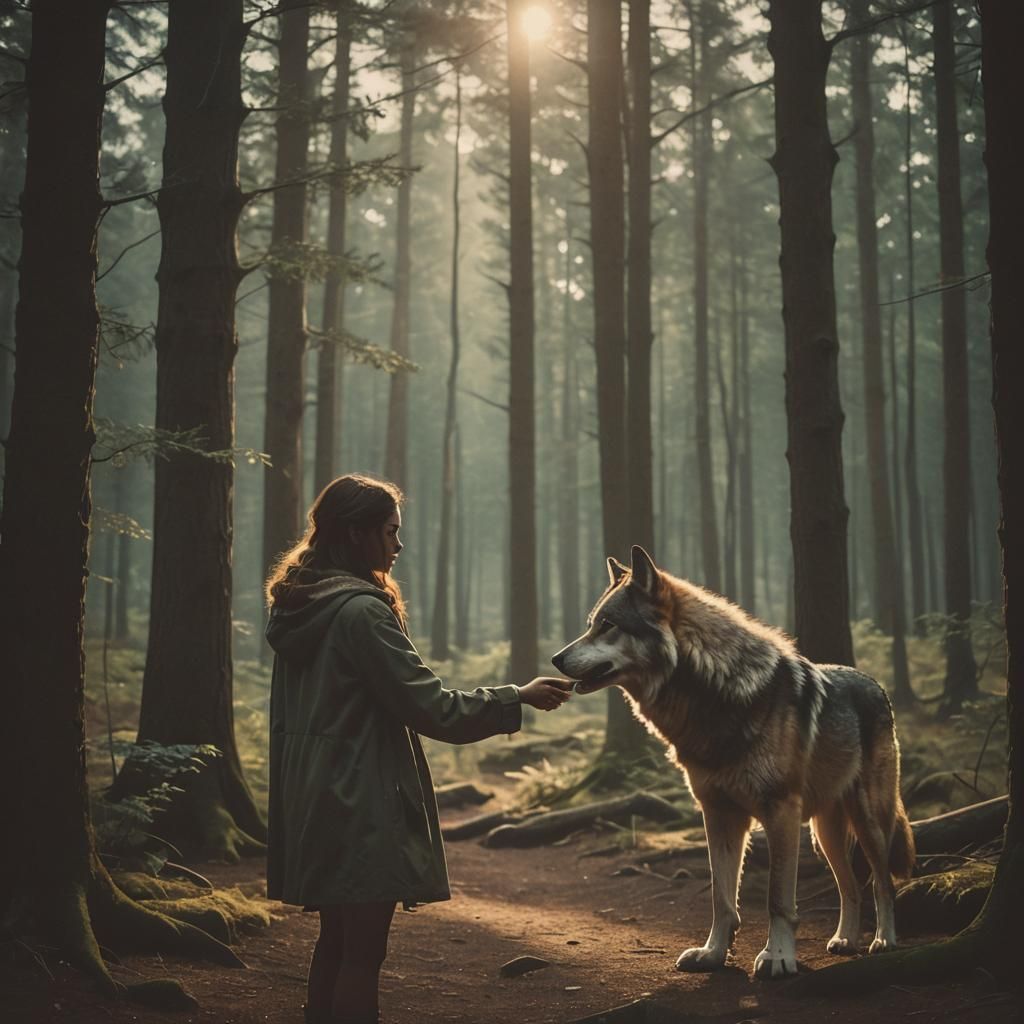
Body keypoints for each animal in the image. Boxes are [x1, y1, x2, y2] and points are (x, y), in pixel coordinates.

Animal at [552, 546, 915, 980]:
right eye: (591, 625)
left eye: (607, 625)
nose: (555, 659)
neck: (711, 697)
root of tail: (876, 684)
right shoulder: (717, 811)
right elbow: (721, 898)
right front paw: (712, 954)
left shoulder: (780, 811)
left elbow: (778, 899)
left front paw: (777, 957)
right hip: (822, 833)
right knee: (850, 886)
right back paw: (845, 940)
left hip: (867, 819)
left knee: (882, 882)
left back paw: (884, 941)